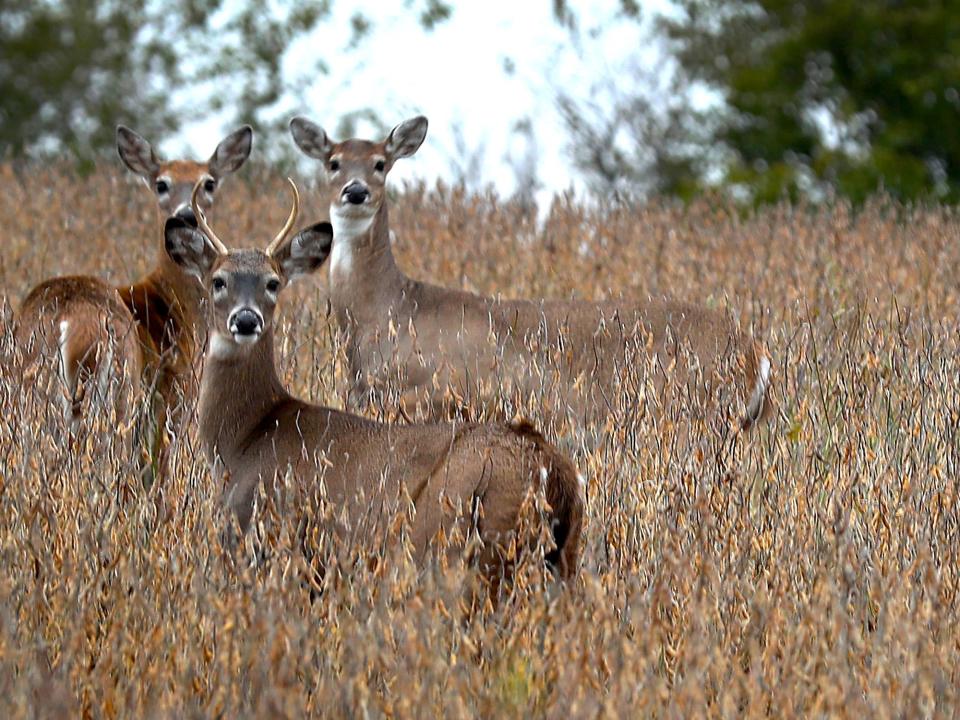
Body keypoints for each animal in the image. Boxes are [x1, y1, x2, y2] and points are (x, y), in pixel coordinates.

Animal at [16, 125, 255, 484]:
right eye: (162, 183)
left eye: (209, 182)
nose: (187, 216)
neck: (174, 303)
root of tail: (68, 320)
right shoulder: (172, 400)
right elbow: (157, 475)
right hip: (117, 396)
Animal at [162, 177, 584, 588]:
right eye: (218, 280)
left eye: (272, 283)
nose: (246, 319)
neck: (245, 439)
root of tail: (549, 466)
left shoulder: (258, 533)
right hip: (562, 557)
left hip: (448, 539)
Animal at [288, 116, 776, 430]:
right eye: (333, 162)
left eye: (380, 162)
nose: (355, 192)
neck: (388, 311)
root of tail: (757, 354)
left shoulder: (445, 396)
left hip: (691, 413)